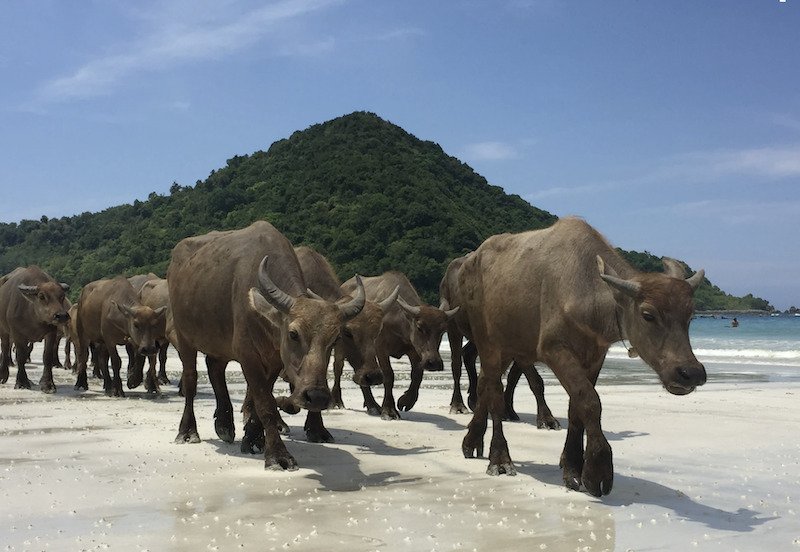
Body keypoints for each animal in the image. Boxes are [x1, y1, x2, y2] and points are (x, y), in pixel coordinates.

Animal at [170, 220, 368, 470]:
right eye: (293, 334)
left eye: (335, 339)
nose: (316, 396)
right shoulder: (248, 356)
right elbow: (265, 404)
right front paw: (277, 454)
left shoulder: (274, 360)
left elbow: (260, 401)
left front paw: (253, 438)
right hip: (184, 337)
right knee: (190, 380)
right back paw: (187, 431)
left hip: (219, 341)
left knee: (215, 368)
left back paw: (224, 425)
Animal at [340, 270, 460, 418]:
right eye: (419, 327)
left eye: (442, 331)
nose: (433, 363)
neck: (397, 319)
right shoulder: (380, 349)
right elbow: (388, 375)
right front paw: (388, 410)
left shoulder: (414, 350)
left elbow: (417, 374)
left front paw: (406, 401)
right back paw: (370, 405)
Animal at [440, 252, 560, 430]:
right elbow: (535, 381)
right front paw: (547, 419)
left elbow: (513, 378)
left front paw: (507, 410)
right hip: (453, 325)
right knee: (456, 365)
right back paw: (458, 404)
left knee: (468, 354)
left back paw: (474, 400)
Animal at [456, 218, 708, 498]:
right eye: (648, 315)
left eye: (690, 316)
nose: (690, 373)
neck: (587, 292)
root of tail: (470, 262)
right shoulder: (554, 349)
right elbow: (589, 401)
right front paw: (597, 469)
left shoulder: (595, 357)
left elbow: (575, 407)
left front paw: (573, 466)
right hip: (488, 343)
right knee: (495, 393)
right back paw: (499, 458)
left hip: (509, 348)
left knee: (485, 385)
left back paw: (472, 440)